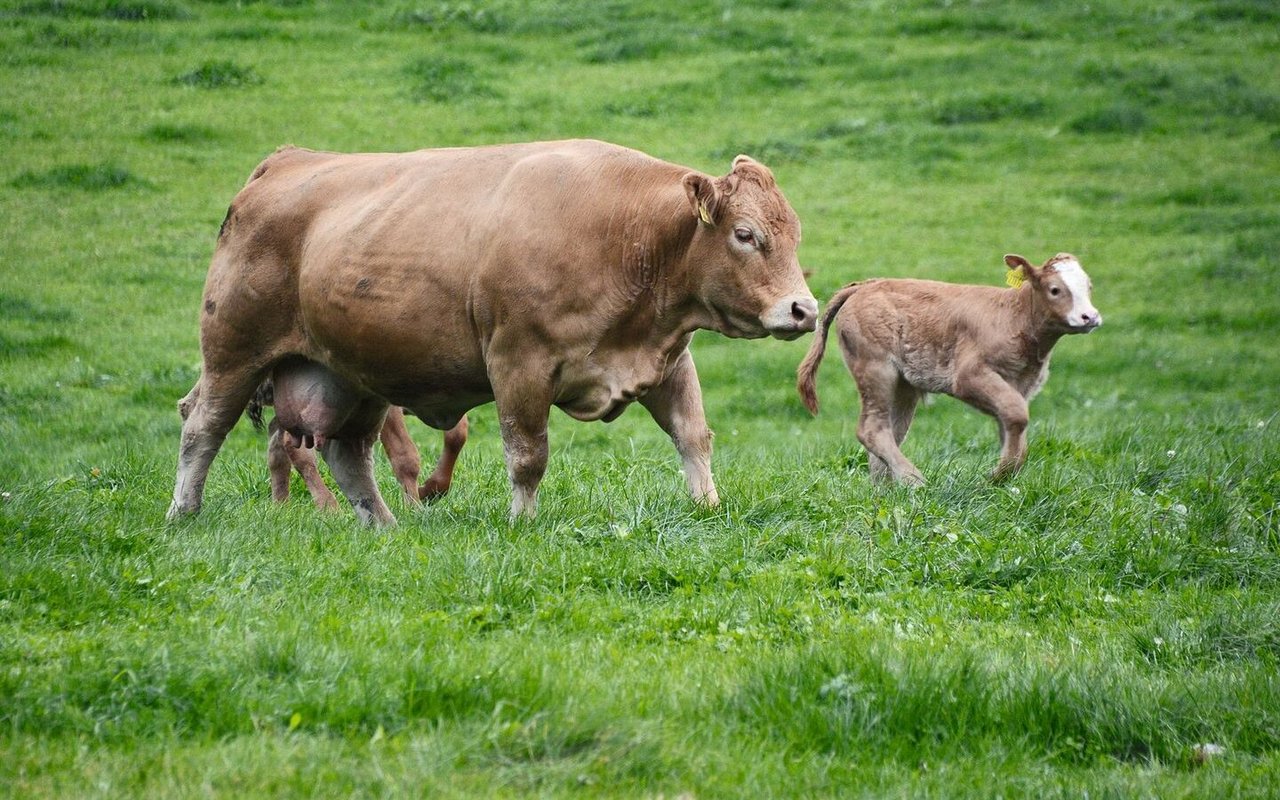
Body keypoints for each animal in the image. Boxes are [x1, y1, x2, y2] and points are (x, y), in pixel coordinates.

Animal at [170, 136, 814, 524]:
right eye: (746, 235)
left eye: (794, 233)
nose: (803, 310)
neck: (625, 234)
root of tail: (287, 159)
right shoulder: (518, 363)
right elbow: (528, 455)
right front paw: (521, 522)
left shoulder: (667, 360)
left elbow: (693, 436)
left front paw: (707, 506)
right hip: (233, 353)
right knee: (202, 427)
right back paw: (183, 512)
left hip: (352, 375)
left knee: (347, 452)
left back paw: (385, 527)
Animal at [788, 252, 1100, 483]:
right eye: (1055, 289)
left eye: (1089, 287)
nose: (1090, 317)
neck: (1014, 316)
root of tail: (865, 285)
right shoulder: (969, 375)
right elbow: (1017, 415)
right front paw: (998, 475)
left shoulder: (1019, 384)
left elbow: (1011, 425)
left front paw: (1006, 477)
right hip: (875, 367)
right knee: (872, 429)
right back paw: (914, 480)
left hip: (903, 384)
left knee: (890, 432)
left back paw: (885, 490)